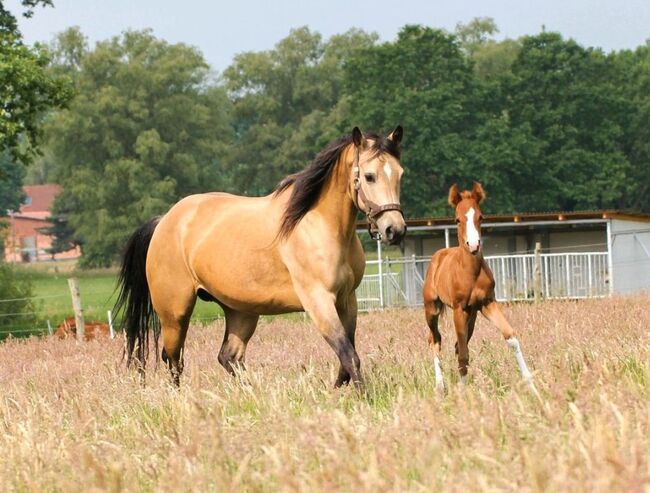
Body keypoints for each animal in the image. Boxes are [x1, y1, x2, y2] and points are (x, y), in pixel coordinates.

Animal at [114, 126, 402, 384]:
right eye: (369, 176)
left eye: (400, 174)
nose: (394, 229)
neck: (318, 224)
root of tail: (164, 220)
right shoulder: (318, 301)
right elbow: (348, 355)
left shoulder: (347, 300)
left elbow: (347, 359)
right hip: (175, 313)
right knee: (174, 360)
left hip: (240, 311)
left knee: (229, 357)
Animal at [422, 181, 536, 392]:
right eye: (457, 219)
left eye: (481, 217)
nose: (474, 245)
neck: (470, 272)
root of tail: (438, 256)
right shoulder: (458, 309)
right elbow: (463, 355)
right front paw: (464, 394)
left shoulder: (487, 303)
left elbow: (511, 337)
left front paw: (531, 386)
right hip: (432, 309)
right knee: (435, 340)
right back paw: (440, 386)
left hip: (472, 316)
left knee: (456, 345)